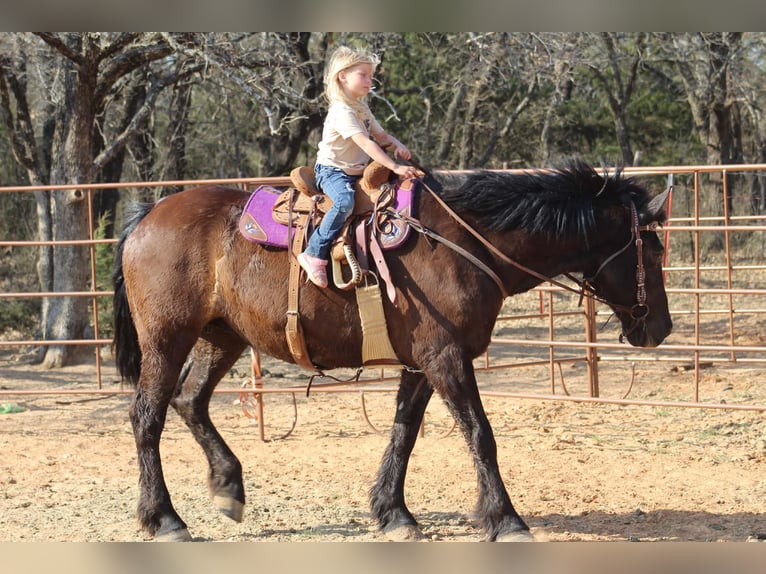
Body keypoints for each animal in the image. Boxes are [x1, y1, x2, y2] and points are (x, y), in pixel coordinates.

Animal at [112, 160, 672, 541]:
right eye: (652, 249)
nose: (661, 328)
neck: (467, 241)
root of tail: (149, 215)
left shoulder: (423, 362)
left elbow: (404, 432)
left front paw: (393, 512)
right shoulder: (446, 357)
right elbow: (479, 433)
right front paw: (505, 519)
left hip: (221, 336)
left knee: (190, 401)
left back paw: (228, 488)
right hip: (166, 337)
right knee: (147, 417)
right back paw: (164, 518)